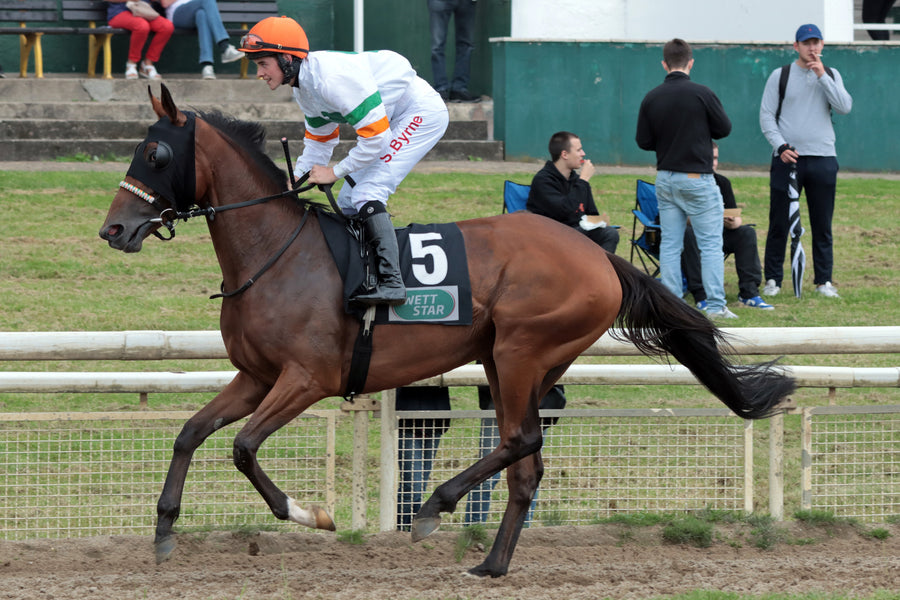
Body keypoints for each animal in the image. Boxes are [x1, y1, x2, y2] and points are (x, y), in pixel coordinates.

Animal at [98, 84, 796, 576]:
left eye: (155, 154)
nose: (114, 229)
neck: (276, 253)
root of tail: (599, 255)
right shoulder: (255, 376)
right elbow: (190, 434)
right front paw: (163, 532)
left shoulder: (307, 378)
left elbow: (243, 448)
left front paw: (310, 513)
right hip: (508, 361)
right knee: (526, 463)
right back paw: (491, 563)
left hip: (520, 351)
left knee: (518, 440)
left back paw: (436, 509)